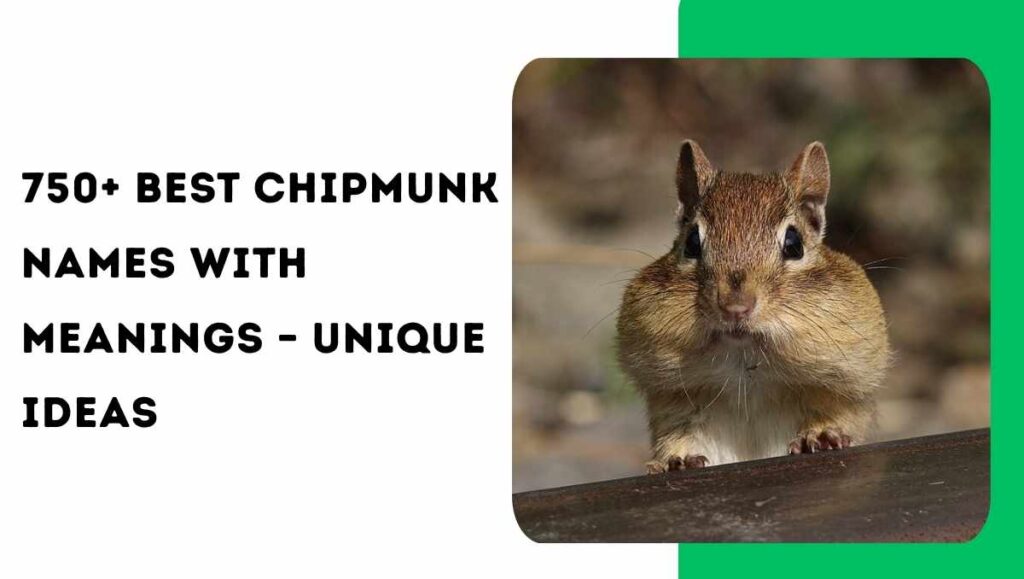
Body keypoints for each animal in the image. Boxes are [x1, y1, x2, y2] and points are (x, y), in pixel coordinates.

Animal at [616, 140, 891, 473]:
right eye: (692, 242)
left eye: (794, 244)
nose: (735, 308)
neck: (746, 362)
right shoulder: (676, 405)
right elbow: (679, 436)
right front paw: (675, 460)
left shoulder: (842, 388)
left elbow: (834, 414)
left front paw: (821, 436)